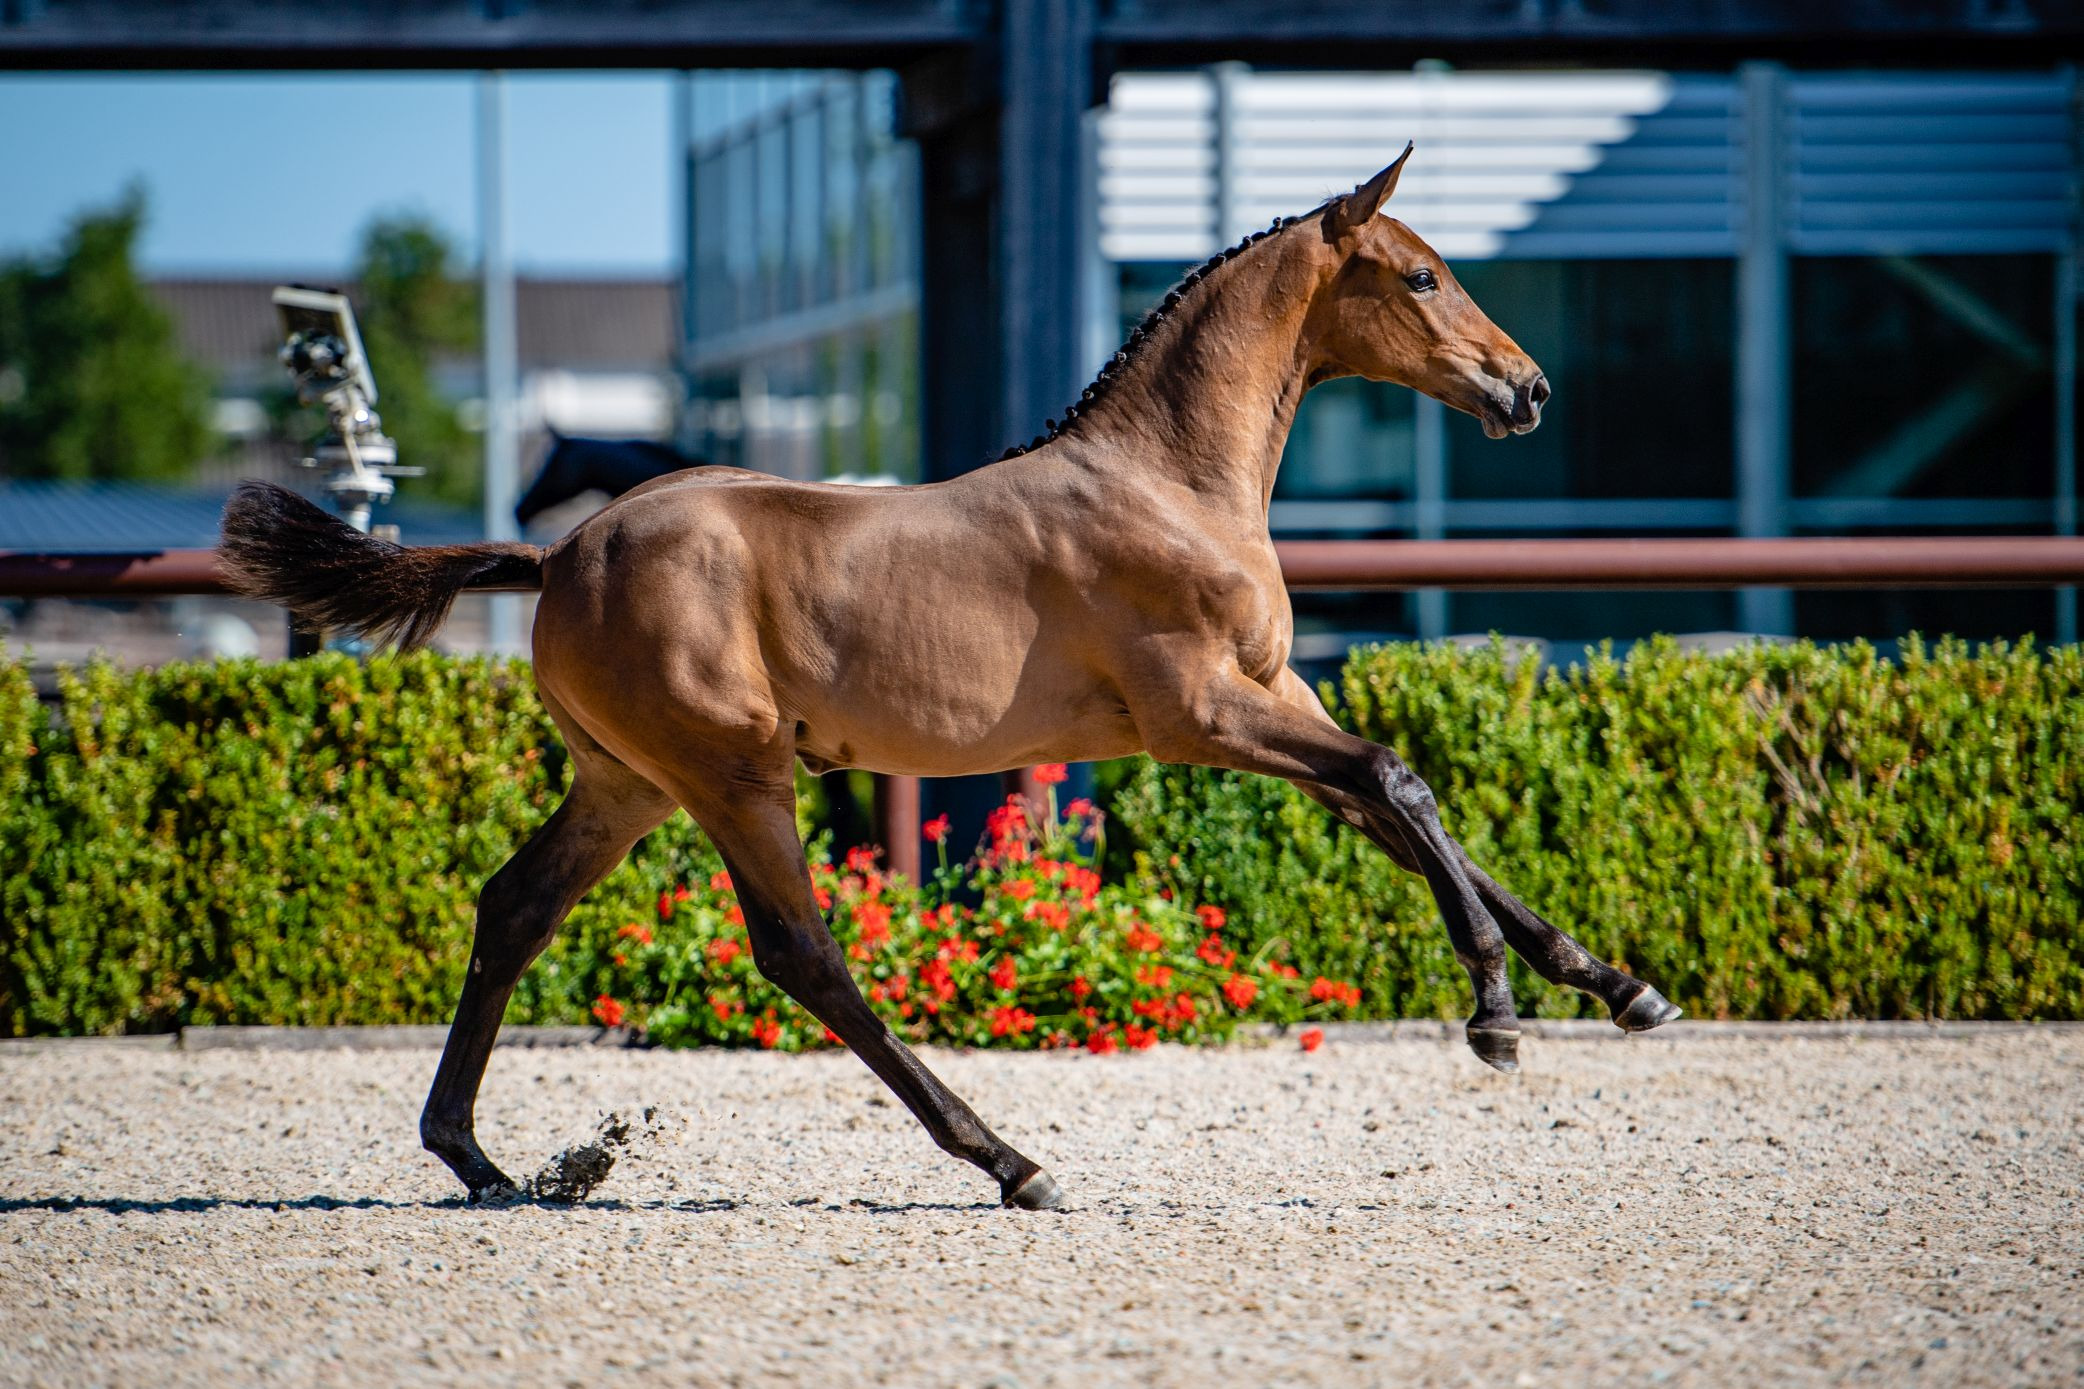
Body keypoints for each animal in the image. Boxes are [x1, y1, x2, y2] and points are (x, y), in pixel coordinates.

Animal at [220, 147, 1680, 1212]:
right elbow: (1399, 778)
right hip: (730, 771)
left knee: (514, 907)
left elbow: (1402, 809)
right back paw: (1008, 1160)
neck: (1170, 483)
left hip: (624, 782)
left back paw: (478, 1158)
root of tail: (563, 549)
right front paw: (1495, 1013)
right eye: (1423, 277)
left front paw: (1615, 986)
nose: (1528, 390)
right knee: (802, 953)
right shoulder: (1200, 716)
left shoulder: (1278, 697)